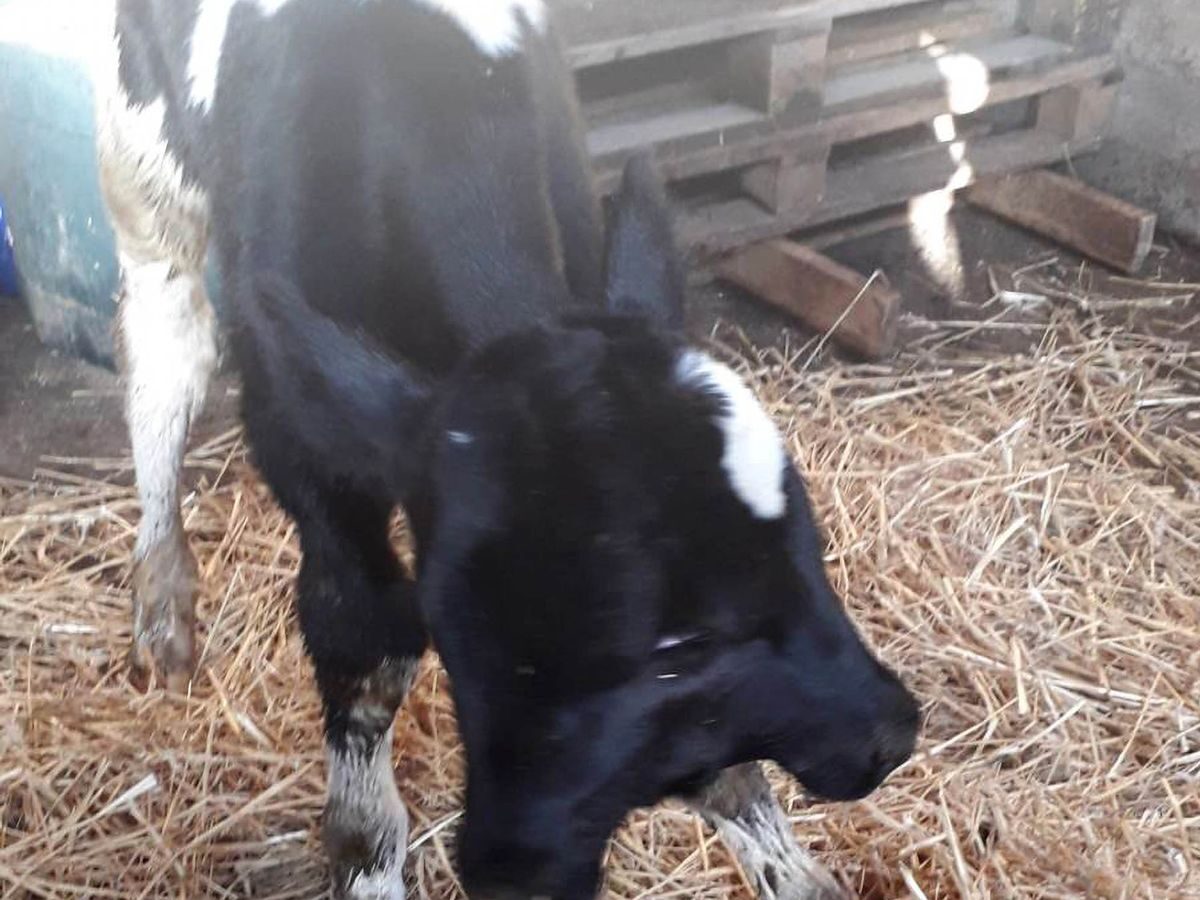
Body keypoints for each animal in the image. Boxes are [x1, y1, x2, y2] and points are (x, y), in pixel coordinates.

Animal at [95, 1, 920, 898]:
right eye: (675, 649)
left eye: (810, 551)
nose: (891, 733)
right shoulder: (303, 434)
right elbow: (362, 637)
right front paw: (366, 856)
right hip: (141, 150)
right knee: (163, 343)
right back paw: (163, 601)